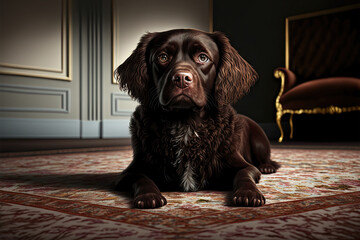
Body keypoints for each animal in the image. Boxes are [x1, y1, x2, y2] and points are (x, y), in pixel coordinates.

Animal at [114, 28, 280, 208]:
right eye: (163, 57)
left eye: (202, 57)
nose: (181, 78)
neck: (185, 121)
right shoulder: (130, 172)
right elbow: (141, 178)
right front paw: (149, 196)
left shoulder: (243, 165)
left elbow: (244, 175)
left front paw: (248, 194)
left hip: (259, 142)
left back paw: (267, 167)